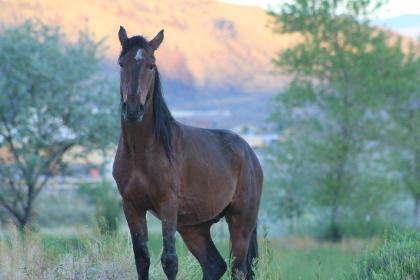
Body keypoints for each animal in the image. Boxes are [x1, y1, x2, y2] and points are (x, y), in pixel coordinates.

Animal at [111, 26, 262, 280]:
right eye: (121, 63)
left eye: (151, 65)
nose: (132, 109)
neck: (142, 151)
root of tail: (251, 154)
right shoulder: (131, 206)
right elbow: (142, 259)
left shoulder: (168, 205)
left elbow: (170, 261)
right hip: (194, 227)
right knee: (214, 265)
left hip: (240, 223)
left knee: (238, 269)